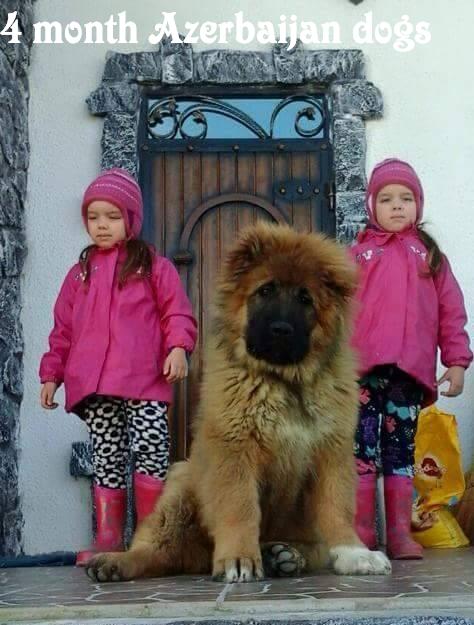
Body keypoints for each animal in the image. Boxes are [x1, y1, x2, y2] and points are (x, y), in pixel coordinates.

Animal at [87, 221, 390, 580]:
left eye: (305, 298)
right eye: (265, 291)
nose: (281, 329)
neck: (283, 381)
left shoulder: (332, 453)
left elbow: (337, 507)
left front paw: (355, 553)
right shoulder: (234, 451)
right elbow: (240, 507)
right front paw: (239, 558)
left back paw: (284, 554)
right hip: (181, 485)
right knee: (158, 549)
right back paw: (114, 562)